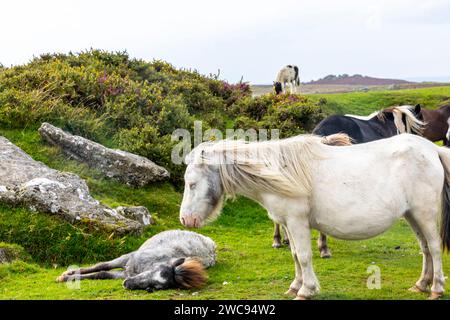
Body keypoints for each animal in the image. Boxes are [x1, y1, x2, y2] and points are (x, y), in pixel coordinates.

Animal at [57, 230, 216, 292]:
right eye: (153, 271)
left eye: (156, 287)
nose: (127, 284)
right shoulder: (126, 258)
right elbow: (101, 265)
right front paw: (65, 275)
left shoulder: (124, 274)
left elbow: (102, 273)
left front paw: (69, 277)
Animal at [179, 134, 450, 298]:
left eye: (192, 184)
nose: (185, 220)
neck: (277, 172)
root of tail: (432, 150)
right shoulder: (287, 224)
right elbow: (294, 256)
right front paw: (295, 286)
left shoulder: (297, 222)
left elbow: (304, 256)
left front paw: (306, 290)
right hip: (412, 215)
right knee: (425, 249)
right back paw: (421, 284)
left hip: (424, 214)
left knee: (435, 248)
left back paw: (436, 288)